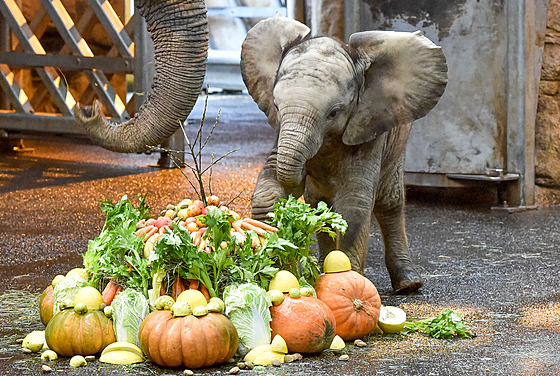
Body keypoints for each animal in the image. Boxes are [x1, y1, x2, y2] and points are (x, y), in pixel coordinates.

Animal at [241, 16, 446, 294]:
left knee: (389, 203)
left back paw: (408, 285)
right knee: (319, 206)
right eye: (275, 105)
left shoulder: (368, 125)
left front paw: (349, 279)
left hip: (398, 142)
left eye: (334, 113)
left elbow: (354, 205)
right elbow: (271, 180)